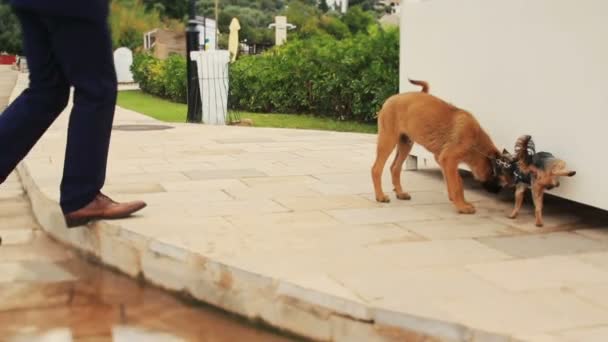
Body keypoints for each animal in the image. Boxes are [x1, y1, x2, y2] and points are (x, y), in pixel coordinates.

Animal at [372, 80, 510, 214]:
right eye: (499, 179)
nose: (497, 193)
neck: (475, 142)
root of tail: (390, 99)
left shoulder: (442, 159)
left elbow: (457, 181)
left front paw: (459, 201)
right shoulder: (448, 159)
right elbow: (456, 184)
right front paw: (461, 206)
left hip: (406, 143)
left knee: (395, 168)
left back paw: (400, 193)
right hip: (388, 140)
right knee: (376, 169)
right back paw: (380, 196)